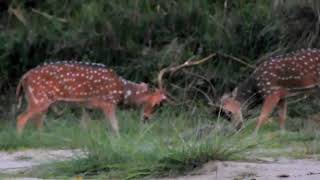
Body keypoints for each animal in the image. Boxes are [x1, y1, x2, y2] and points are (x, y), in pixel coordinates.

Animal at [15, 61, 168, 136]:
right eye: (157, 103)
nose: (146, 118)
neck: (122, 91)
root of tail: (23, 77)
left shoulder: (87, 106)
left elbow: (83, 127)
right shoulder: (108, 102)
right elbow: (115, 126)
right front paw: (119, 141)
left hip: (36, 100)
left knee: (37, 121)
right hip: (39, 99)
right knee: (21, 118)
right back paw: (20, 139)